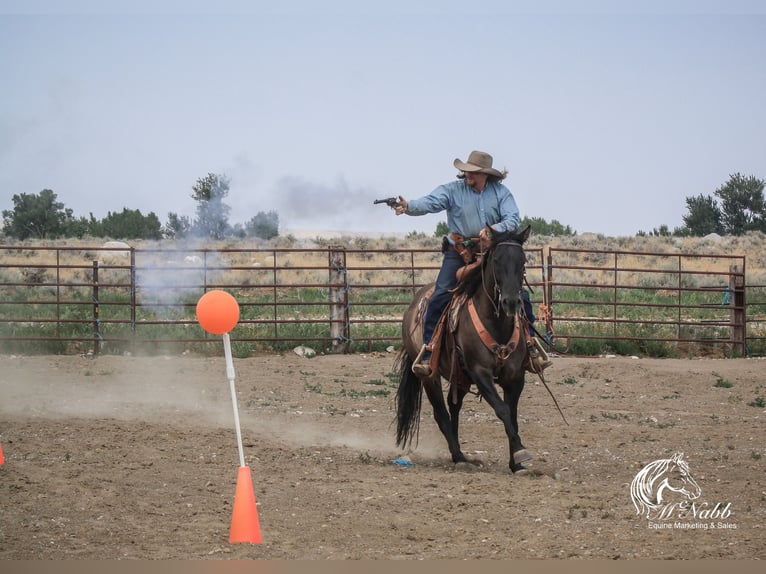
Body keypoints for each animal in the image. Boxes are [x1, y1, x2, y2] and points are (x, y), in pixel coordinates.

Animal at [396, 227, 536, 474]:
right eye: (497, 260)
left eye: (523, 261)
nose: (511, 302)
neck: (496, 323)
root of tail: (413, 305)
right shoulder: (480, 373)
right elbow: (502, 409)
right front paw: (521, 451)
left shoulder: (515, 376)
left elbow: (513, 414)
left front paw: (516, 463)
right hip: (429, 376)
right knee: (441, 413)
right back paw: (459, 457)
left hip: (460, 376)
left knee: (454, 406)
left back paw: (459, 455)